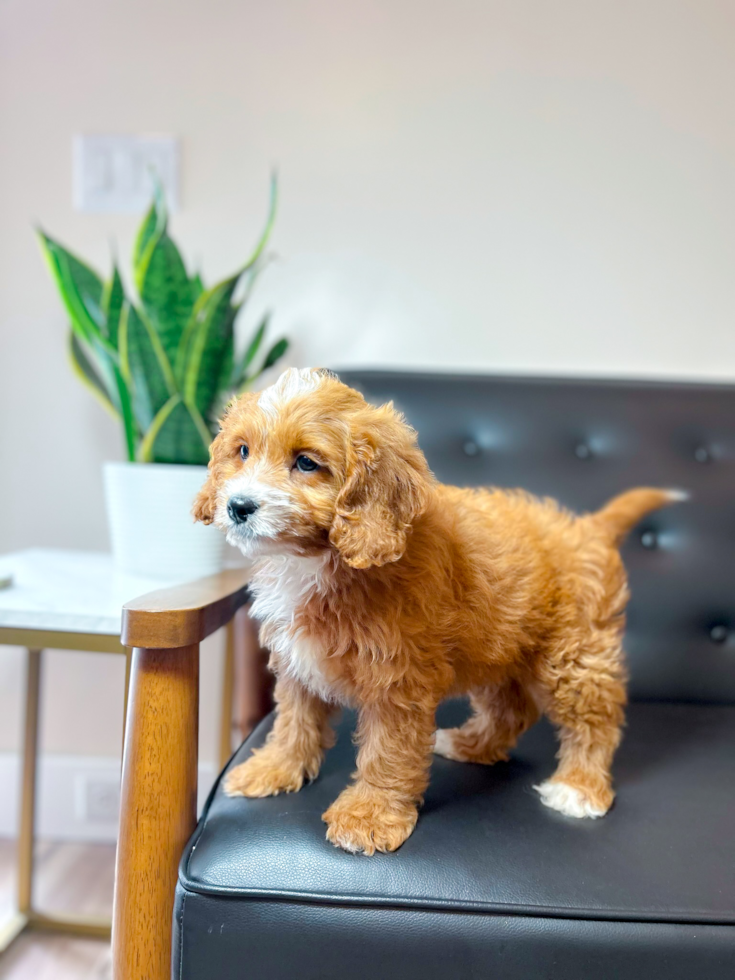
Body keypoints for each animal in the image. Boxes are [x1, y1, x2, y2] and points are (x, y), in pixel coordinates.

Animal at [194, 364, 684, 852]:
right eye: (242, 451)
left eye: (306, 463)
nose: (238, 506)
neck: (319, 559)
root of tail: (588, 527)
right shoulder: (298, 662)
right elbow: (293, 721)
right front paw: (274, 768)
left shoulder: (397, 679)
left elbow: (387, 751)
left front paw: (368, 816)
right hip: (500, 647)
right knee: (512, 710)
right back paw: (473, 746)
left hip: (574, 656)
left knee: (595, 720)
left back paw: (580, 787)